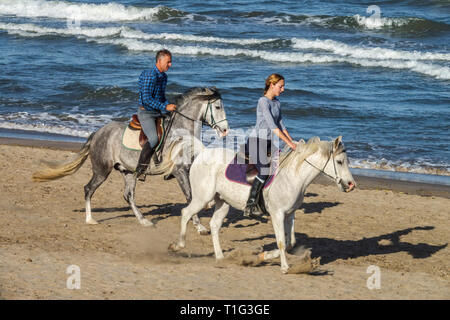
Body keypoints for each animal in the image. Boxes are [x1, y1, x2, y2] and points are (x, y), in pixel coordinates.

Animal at [32, 86, 229, 230]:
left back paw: (143, 221)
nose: (225, 130)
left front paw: (207, 208)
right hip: (102, 170)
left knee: (128, 195)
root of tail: (97, 133)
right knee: (89, 189)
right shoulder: (180, 171)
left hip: (127, 171)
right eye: (218, 107)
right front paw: (199, 226)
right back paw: (90, 219)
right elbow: (189, 196)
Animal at [171, 136, 356, 274]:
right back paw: (178, 245)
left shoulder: (290, 214)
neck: (293, 176)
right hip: (202, 198)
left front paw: (264, 256)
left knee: (214, 225)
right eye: (340, 162)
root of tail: (203, 153)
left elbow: (290, 242)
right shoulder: (277, 214)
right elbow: (281, 241)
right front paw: (285, 267)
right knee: (185, 213)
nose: (351, 185)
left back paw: (220, 256)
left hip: (222, 202)